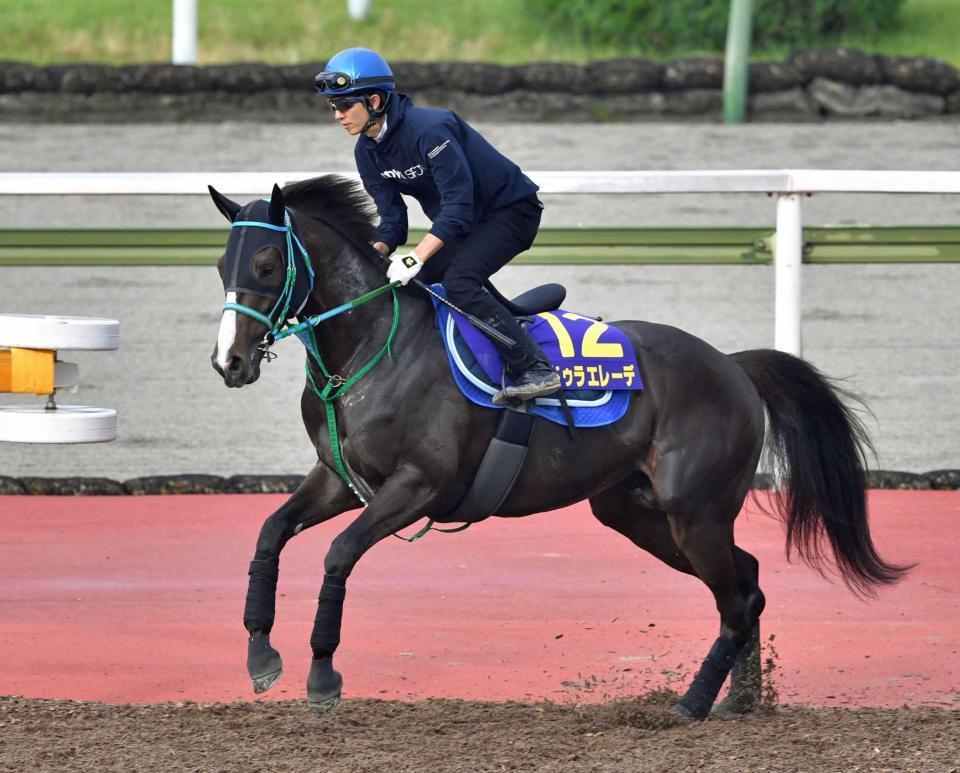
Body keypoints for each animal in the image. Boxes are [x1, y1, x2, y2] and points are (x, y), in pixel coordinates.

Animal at [208, 175, 908, 716]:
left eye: (266, 266)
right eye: (221, 267)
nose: (229, 362)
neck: (371, 346)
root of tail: (733, 366)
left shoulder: (419, 484)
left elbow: (339, 553)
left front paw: (323, 673)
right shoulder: (337, 477)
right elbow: (271, 533)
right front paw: (260, 651)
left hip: (695, 512)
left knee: (737, 600)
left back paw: (691, 703)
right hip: (637, 511)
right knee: (751, 582)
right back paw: (740, 700)